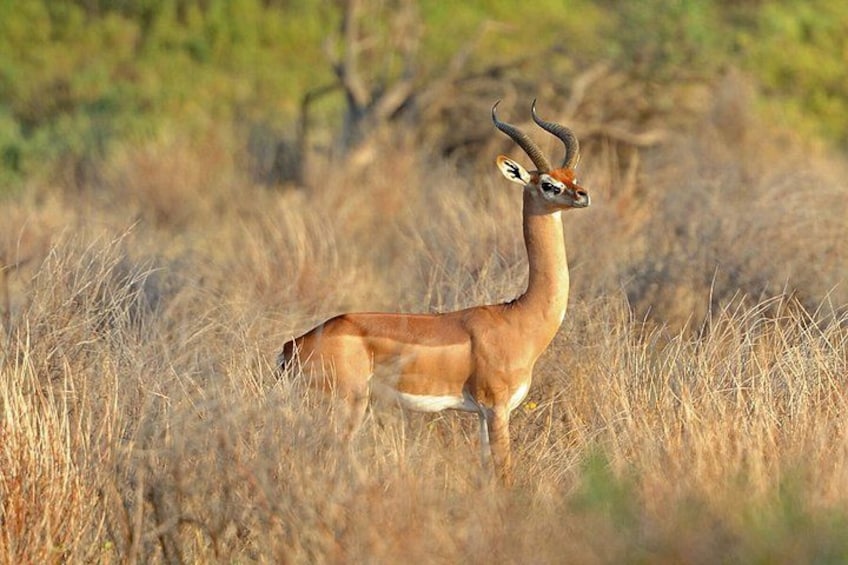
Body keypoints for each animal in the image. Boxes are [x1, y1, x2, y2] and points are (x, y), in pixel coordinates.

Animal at [278, 100, 590, 484]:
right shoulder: (496, 409)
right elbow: (504, 473)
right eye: (548, 184)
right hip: (346, 406)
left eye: (572, 176)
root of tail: (293, 346)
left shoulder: (481, 416)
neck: (518, 318)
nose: (583, 196)